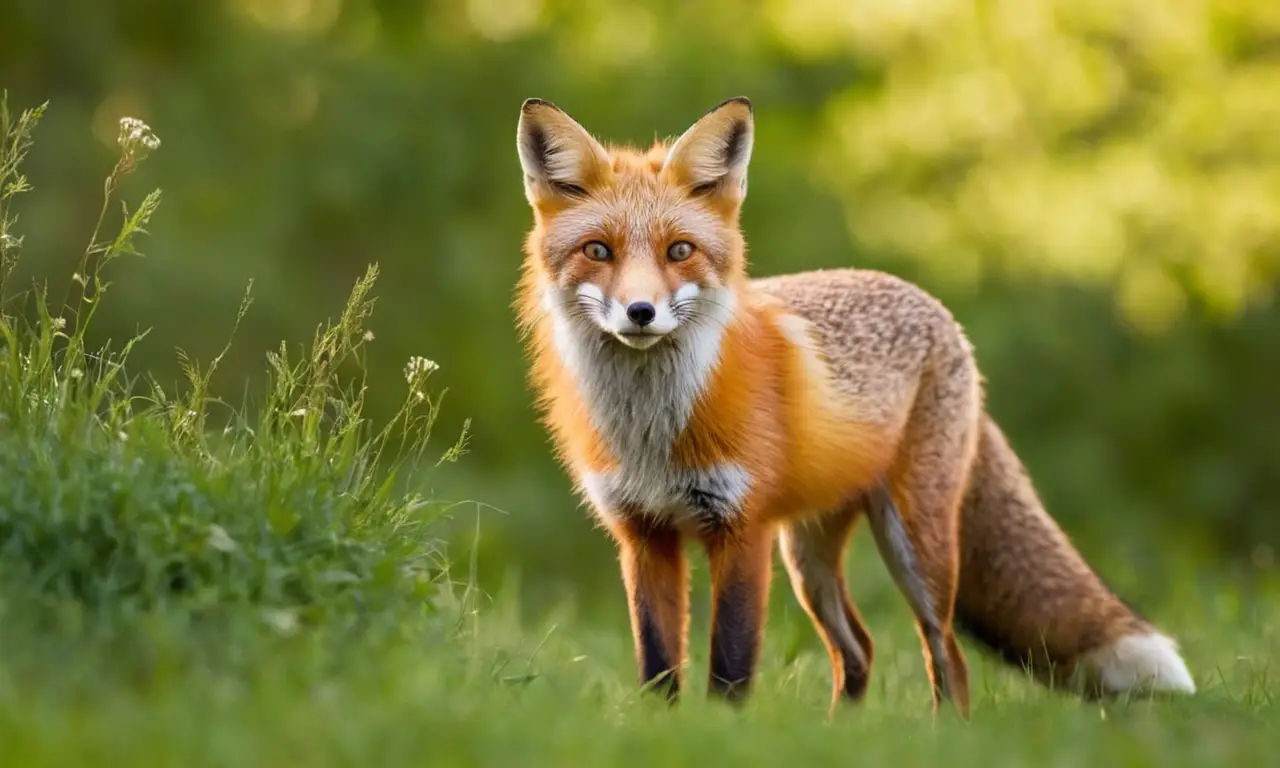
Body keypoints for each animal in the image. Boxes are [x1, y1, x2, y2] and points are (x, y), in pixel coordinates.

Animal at [512, 95, 1196, 716]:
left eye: (679, 250)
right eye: (598, 251)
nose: (641, 312)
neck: (653, 431)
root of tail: (938, 310)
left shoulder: (742, 529)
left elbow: (731, 663)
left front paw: (726, 734)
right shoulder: (643, 535)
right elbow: (657, 664)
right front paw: (664, 730)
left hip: (915, 546)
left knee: (947, 656)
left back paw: (944, 736)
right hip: (809, 558)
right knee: (859, 650)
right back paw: (841, 734)